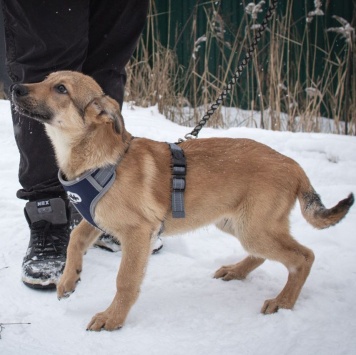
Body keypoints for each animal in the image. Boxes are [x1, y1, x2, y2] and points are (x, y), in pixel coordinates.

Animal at [11, 71, 354, 332]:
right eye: (46, 78)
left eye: (61, 89)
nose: (15, 88)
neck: (99, 159)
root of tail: (293, 165)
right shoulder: (97, 218)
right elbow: (75, 240)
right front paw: (69, 279)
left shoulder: (138, 233)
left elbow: (125, 280)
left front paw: (113, 318)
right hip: (236, 222)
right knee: (265, 255)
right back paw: (237, 271)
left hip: (253, 227)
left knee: (303, 257)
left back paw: (283, 302)